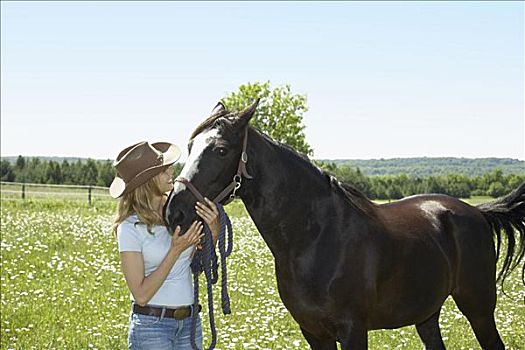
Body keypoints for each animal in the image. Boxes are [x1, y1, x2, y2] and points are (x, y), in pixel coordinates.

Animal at [165, 100, 524, 348]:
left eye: (221, 150)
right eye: (190, 146)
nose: (174, 212)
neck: (318, 237)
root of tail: (476, 213)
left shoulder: (353, 330)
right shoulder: (313, 332)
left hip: (478, 307)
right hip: (427, 314)